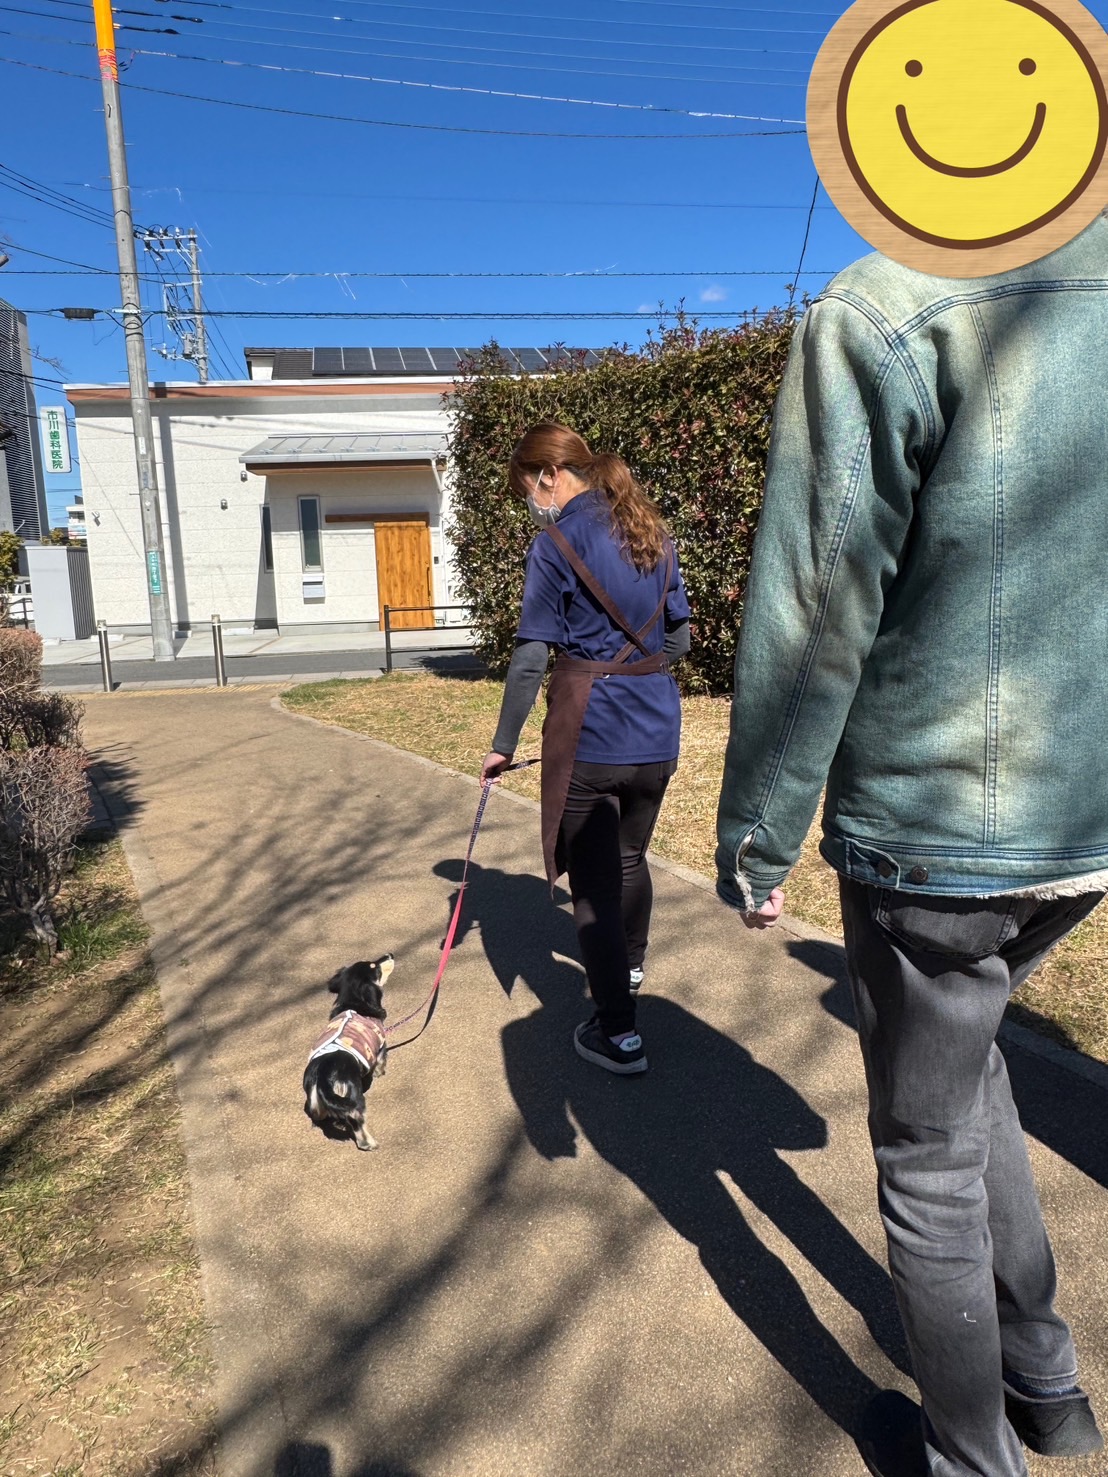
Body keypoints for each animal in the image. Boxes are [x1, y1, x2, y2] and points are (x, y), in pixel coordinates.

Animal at [303, 955, 394, 1151]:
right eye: (374, 966)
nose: (390, 954)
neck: (353, 1003)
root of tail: (322, 1076)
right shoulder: (380, 1046)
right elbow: (380, 1062)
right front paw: (380, 1073)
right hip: (353, 1096)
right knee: (357, 1124)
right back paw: (370, 1143)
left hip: (316, 1102)